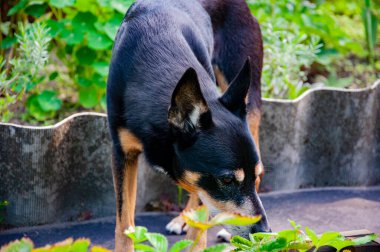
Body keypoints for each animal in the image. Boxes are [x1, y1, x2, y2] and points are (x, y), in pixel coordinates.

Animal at [105, 0, 268, 250]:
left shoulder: (205, 182)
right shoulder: (122, 153)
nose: (264, 232)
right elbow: (124, 224)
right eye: (227, 180)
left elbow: (199, 227)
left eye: (255, 176)